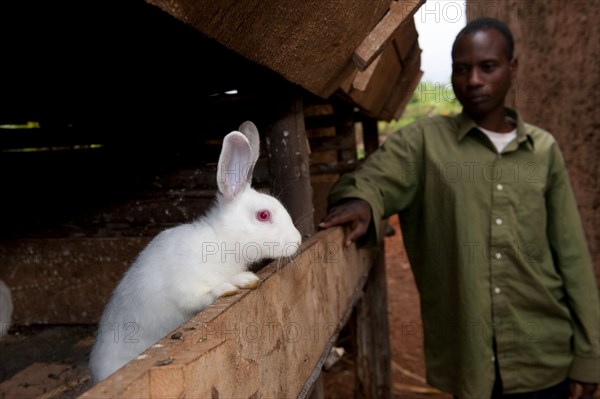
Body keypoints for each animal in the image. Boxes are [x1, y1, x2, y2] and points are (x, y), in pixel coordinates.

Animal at [89, 122, 302, 384]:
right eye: (263, 215)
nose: (297, 241)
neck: (221, 241)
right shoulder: (185, 286)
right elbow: (202, 295)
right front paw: (233, 285)